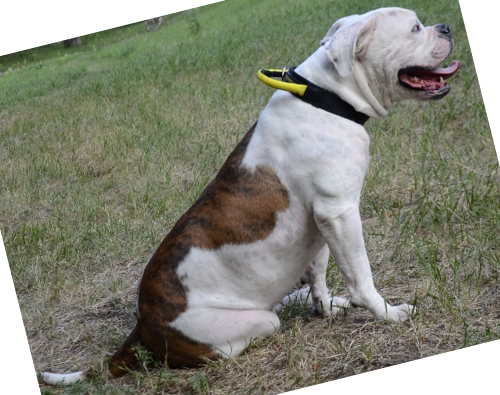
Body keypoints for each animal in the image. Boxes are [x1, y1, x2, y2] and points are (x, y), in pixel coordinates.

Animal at [41, 6, 458, 386]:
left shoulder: (322, 223)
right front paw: (387, 313)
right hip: (249, 324)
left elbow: (320, 272)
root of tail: (142, 327)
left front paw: (326, 307)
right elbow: (361, 275)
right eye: (415, 28)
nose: (446, 26)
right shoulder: (338, 212)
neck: (324, 98)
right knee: (250, 333)